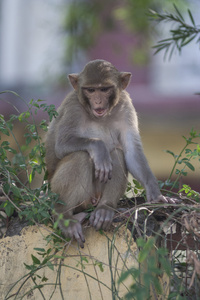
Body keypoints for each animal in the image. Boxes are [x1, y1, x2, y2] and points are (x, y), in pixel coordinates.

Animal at [45, 59, 175, 247]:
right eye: (91, 90)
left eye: (104, 89)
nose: (98, 100)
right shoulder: (73, 106)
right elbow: (62, 144)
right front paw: (100, 150)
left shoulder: (126, 105)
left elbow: (131, 151)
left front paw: (156, 194)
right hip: (61, 192)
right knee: (81, 156)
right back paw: (65, 216)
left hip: (96, 197)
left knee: (117, 154)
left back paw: (105, 209)